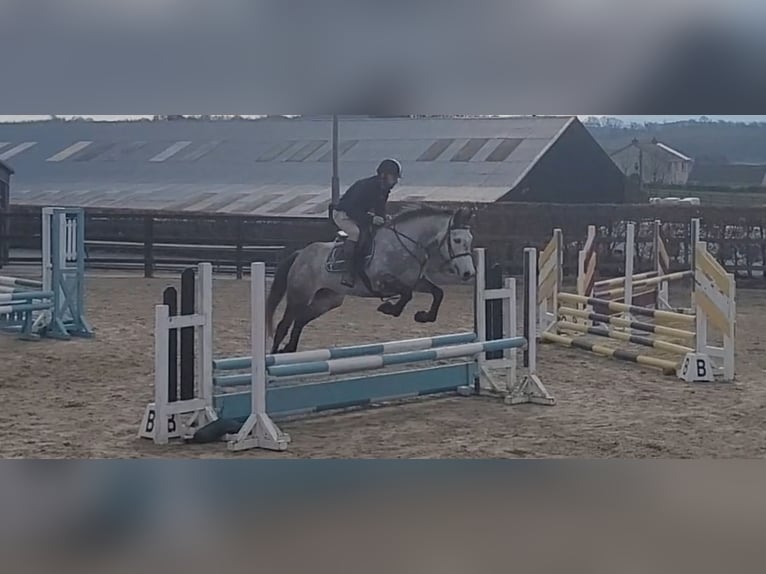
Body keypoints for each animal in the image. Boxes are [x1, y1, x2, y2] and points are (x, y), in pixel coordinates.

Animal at [268, 205, 476, 354]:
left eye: (470, 240)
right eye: (457, 240)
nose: (469, 273)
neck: (405, 244)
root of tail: (300, 254)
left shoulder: (415, 281)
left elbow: (437, 293)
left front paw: (423, 316)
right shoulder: (381, 280)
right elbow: (406, 295)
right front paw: (389, 308)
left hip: (328, 299)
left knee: (300, 320)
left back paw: (289, 349)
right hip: (299, 296)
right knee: (283, 325)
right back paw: (274, 357)